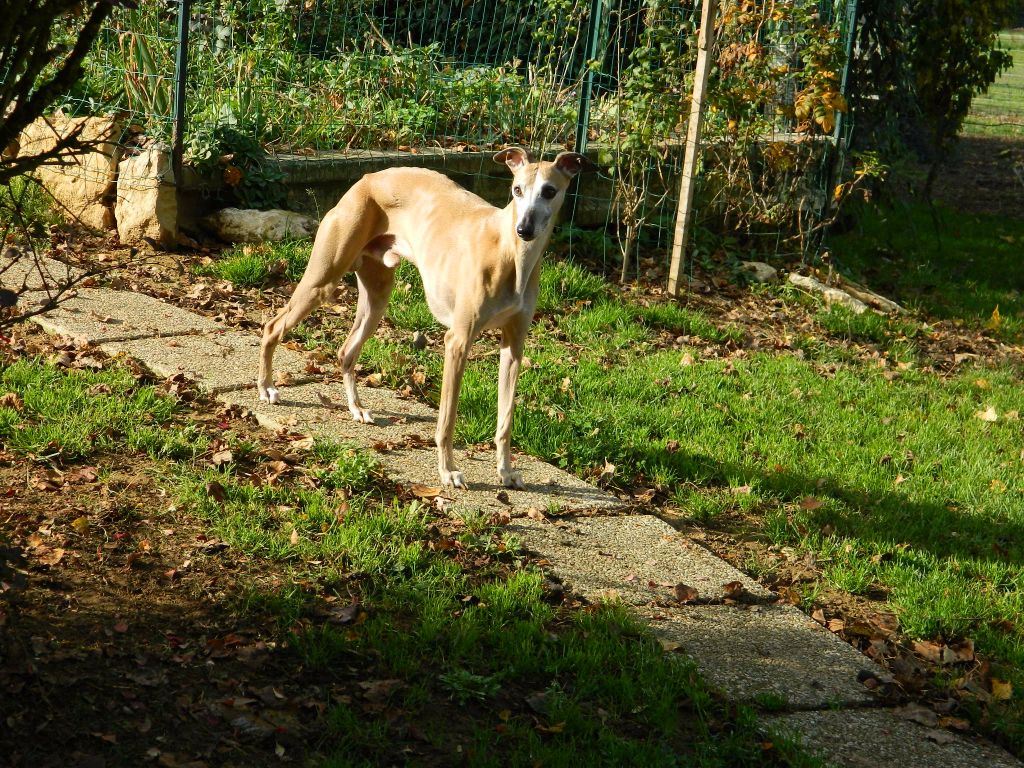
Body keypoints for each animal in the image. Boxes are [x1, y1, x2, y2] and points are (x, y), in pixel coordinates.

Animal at [256, 147, 598, 489]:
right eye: (517, 190)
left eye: (549, 191)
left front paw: (506, 472)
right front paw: (448, 471)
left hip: (377, 298)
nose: (524, 230)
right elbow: (447, 419)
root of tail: (367, 178)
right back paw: (267, 388)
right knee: (273, 326)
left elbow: (505, 420)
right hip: (323, 280)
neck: (510, 253)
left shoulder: (513, 346)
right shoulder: (457, 341)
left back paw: (357, 408)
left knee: (346, 351)